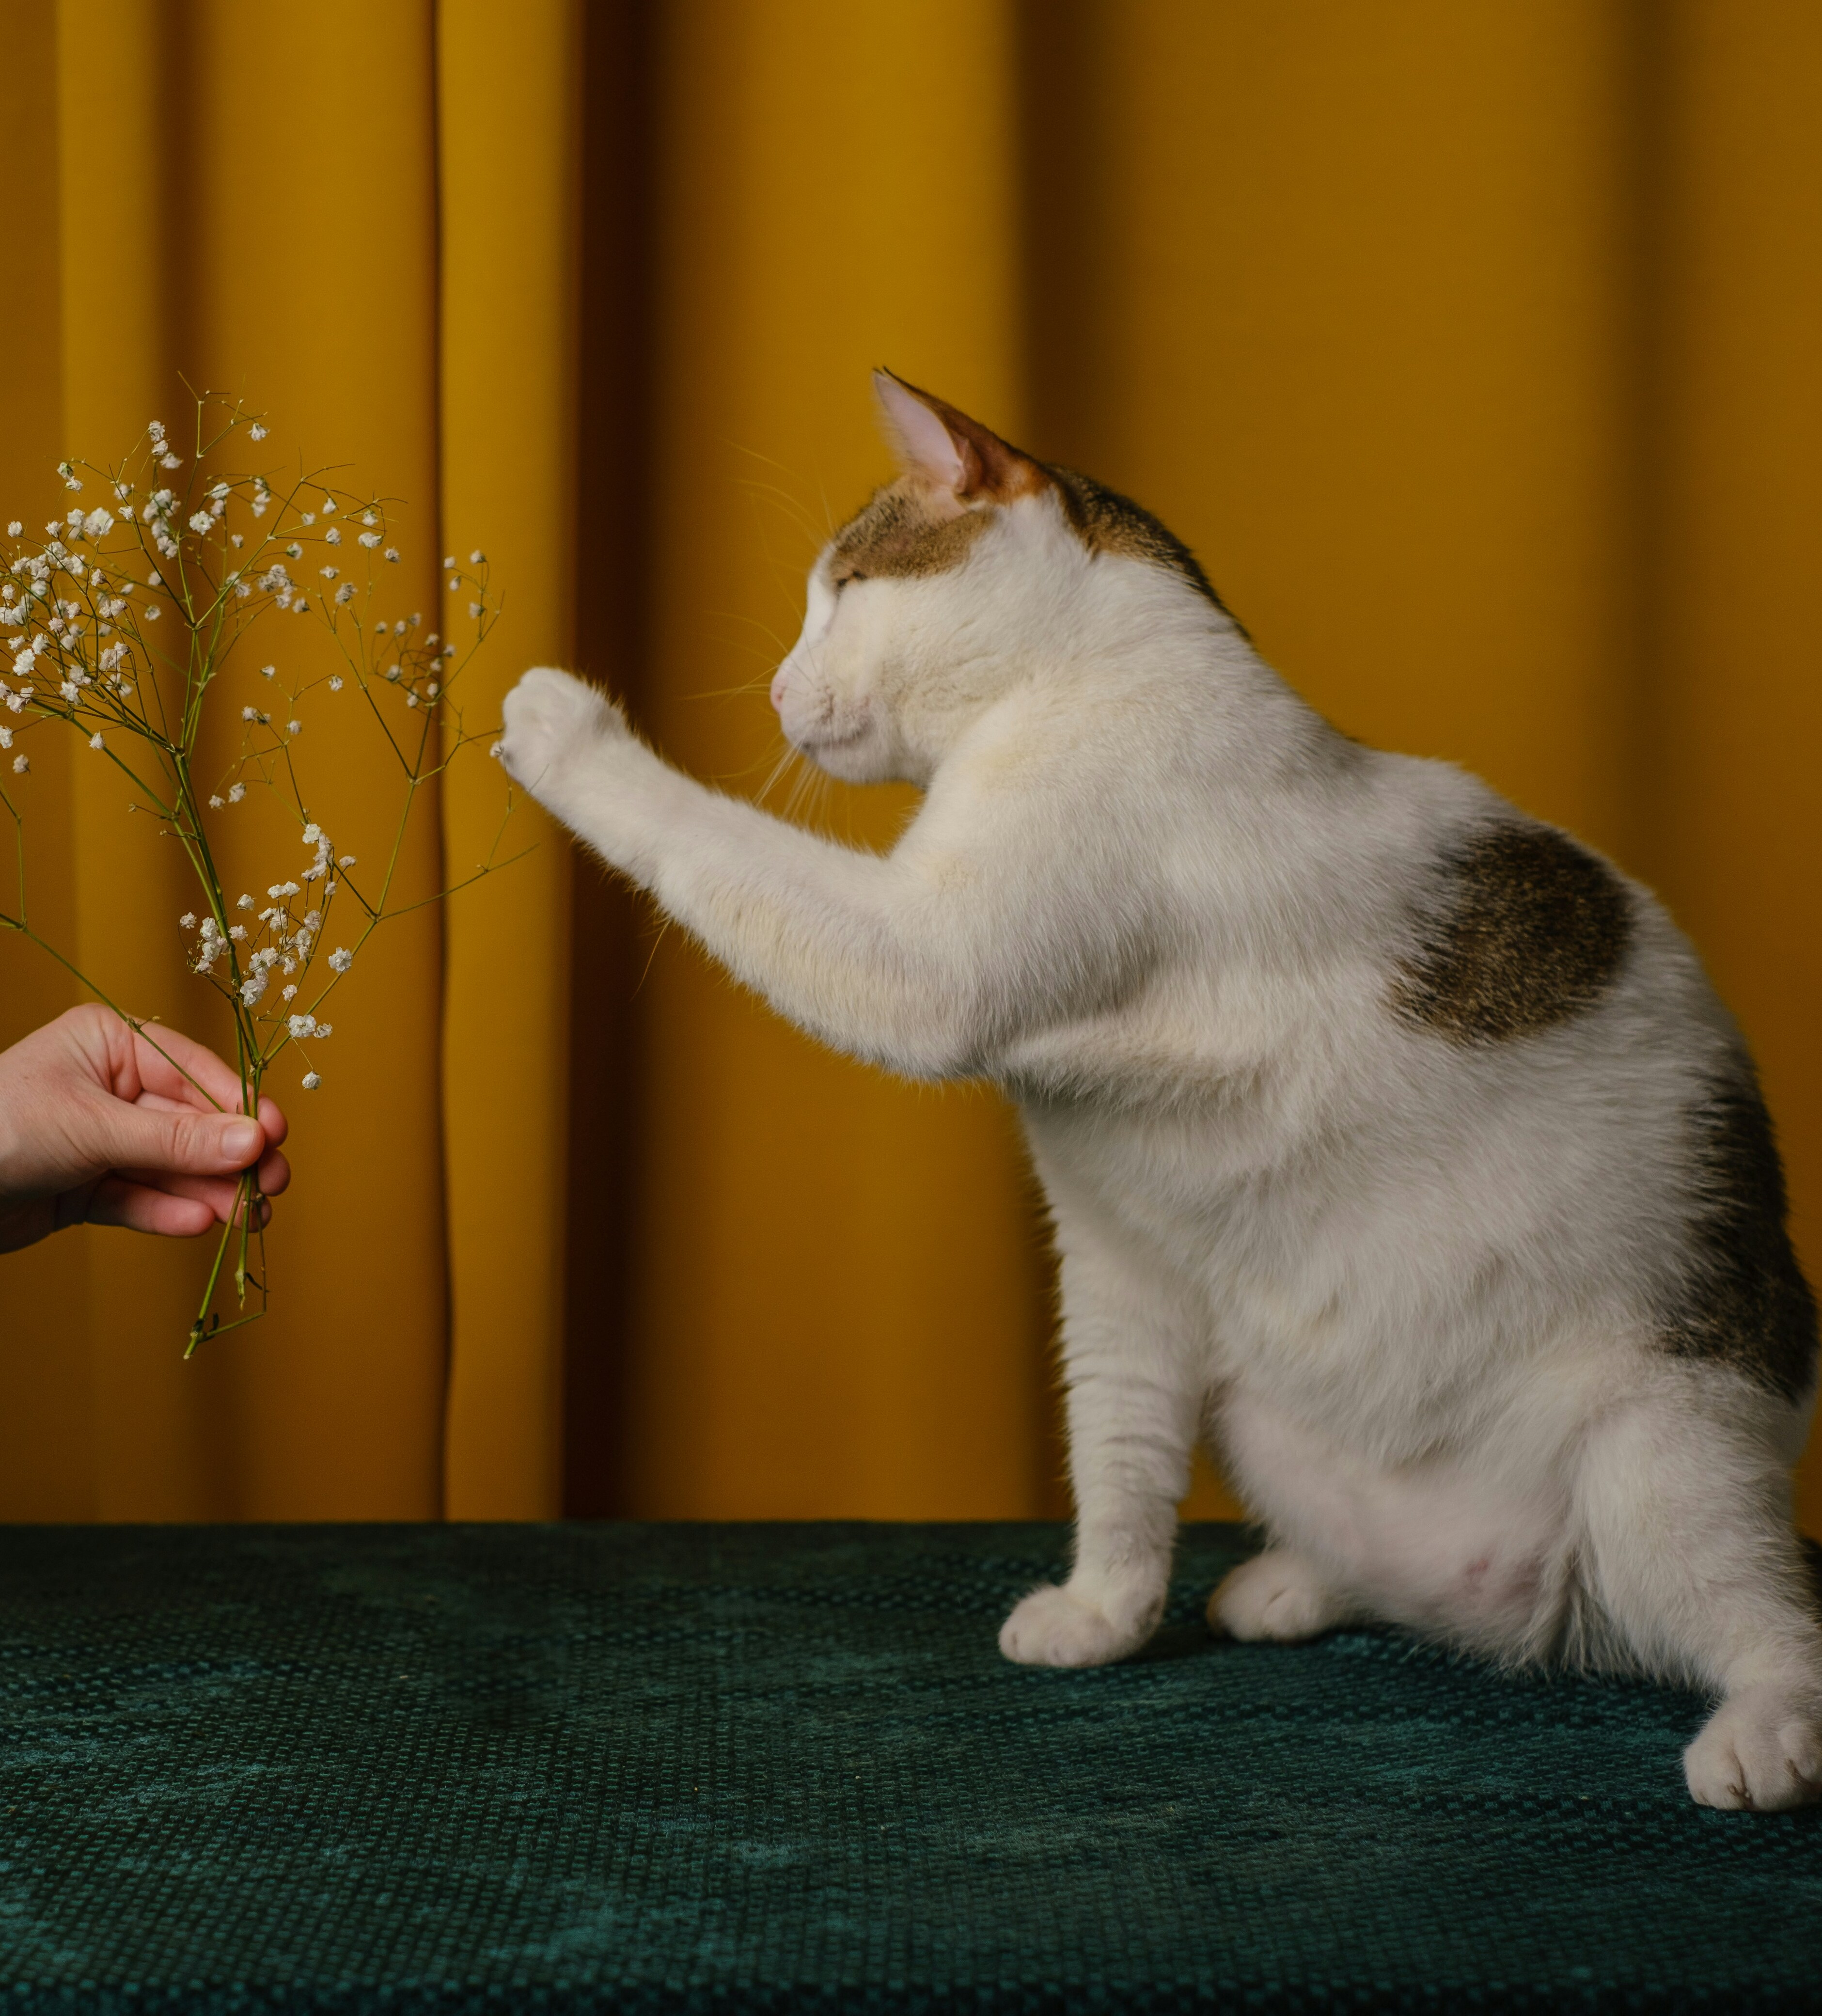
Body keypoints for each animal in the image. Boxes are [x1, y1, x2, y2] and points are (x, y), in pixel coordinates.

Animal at [502, 367, 1822, 1814]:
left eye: (844, 587)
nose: (780, 684)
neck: (1079, 681)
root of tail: (1530, 1607)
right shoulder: (1119, 1260)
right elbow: (1118, 1455)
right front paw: (1106, 1613)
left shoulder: (928, 964)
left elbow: (717, 845)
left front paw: (568, 729)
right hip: (1270, 1403)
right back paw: (1301, 1585)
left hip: (1662, 1473)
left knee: (1779, 1624)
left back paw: (1765, 1734)